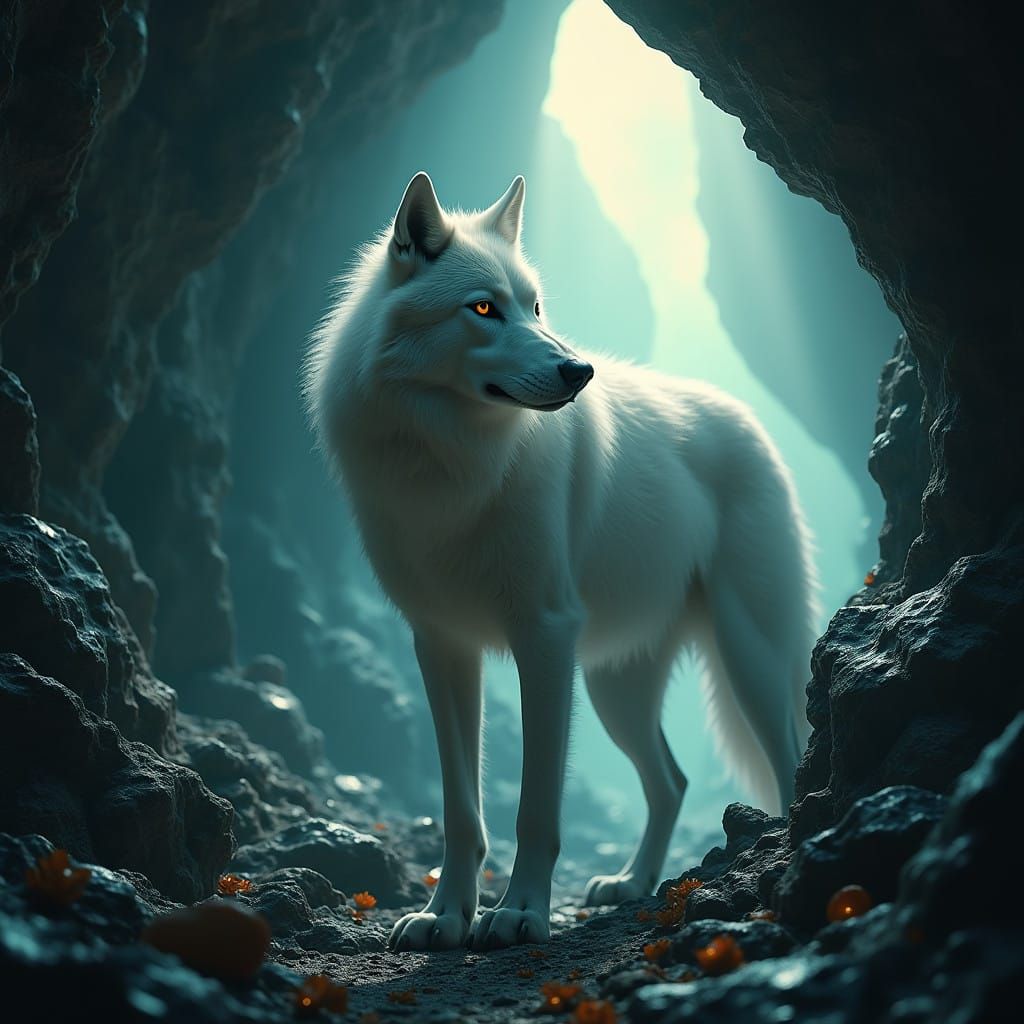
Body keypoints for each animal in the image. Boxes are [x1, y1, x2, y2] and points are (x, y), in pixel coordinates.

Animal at [304, 172, 819, 952]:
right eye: (485, 308)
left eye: (536, 307)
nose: (579, 370)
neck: (451, 467)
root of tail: (747, 420)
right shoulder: (441, 647)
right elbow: (461, 810)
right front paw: (444, 917)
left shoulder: (543, 637)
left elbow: (536, 808)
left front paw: (519, 914)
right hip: (614, 691)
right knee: (672, 782)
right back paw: (631, 884)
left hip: (747, 659)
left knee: (788, 763)